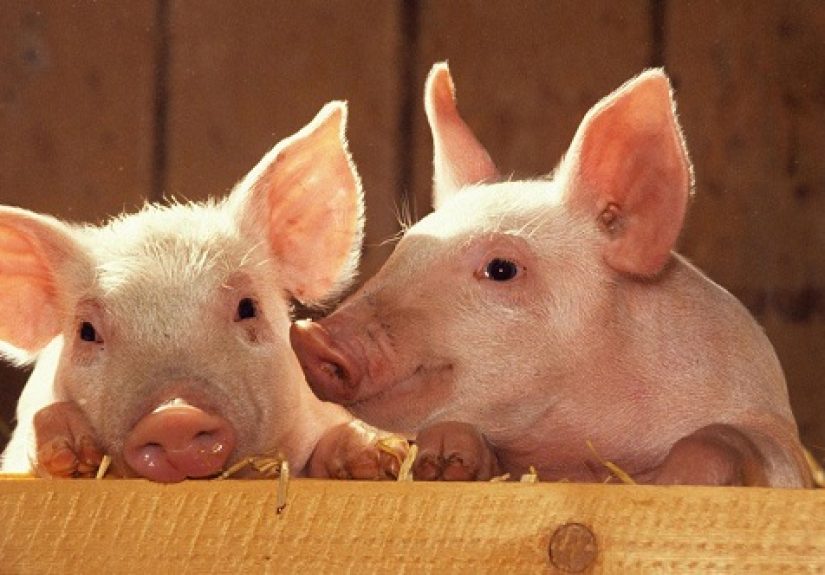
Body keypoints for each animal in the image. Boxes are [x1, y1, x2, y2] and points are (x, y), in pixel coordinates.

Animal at [290, 63, 813, 487]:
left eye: (502, 268)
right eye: (405, 248)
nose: (311, 336)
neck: (581, 448)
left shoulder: (776, 436)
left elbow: (727, 439)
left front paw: (671, 482)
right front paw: (441, 457)